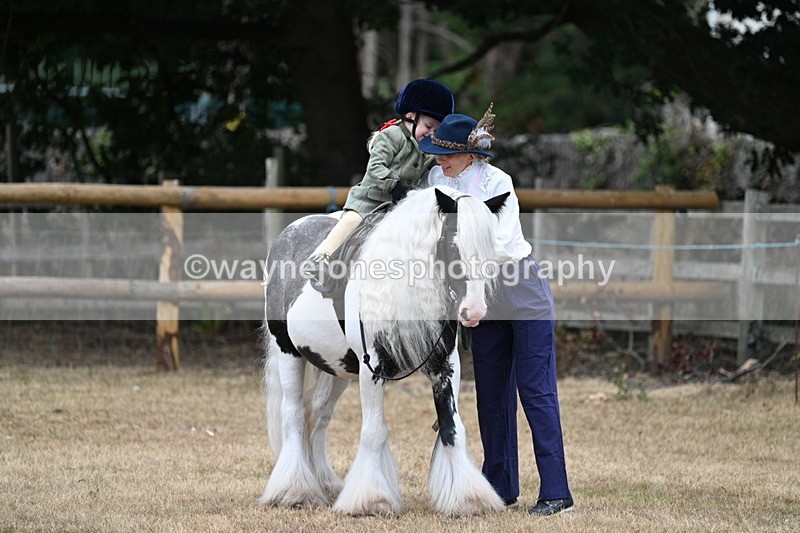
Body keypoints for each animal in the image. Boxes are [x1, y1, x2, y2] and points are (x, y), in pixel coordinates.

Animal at [259, 186, 509, 516]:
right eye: (454, 245)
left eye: (491, 247)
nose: (474, 310)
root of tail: (288, 234)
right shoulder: (372, 368)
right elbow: (374, 432)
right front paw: (371, 500)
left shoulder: (444, 366)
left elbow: (452, 429)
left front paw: (469, 499)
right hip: (288, 354)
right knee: (294, 415)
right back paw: (294, 491)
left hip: (336, 369)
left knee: (319, 416)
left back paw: (325, 485)